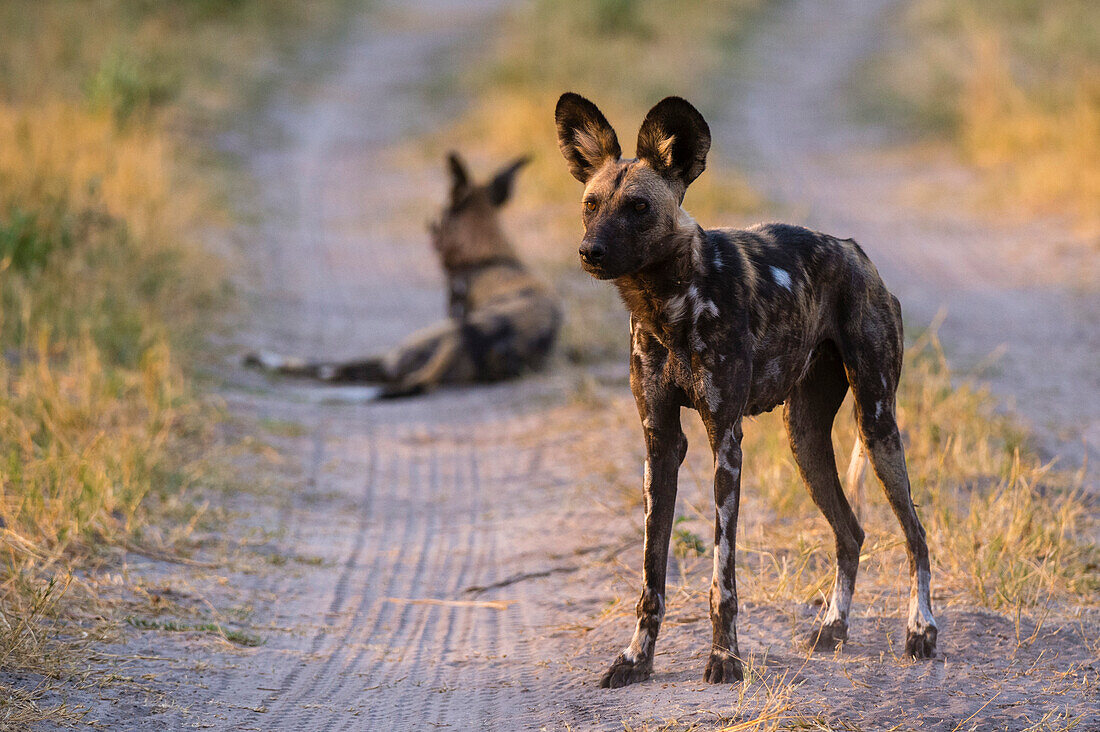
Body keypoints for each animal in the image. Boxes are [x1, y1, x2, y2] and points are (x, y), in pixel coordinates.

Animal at [246, 150, 563, 396]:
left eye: (437, 217)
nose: (427, 225)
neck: (488, 258)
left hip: (399, 352)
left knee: (330, 368)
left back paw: (262, 359)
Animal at [558, 93, 937, 686]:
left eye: (638, 207)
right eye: (591, 203)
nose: (590, 251)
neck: (668, 303)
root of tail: (856, 251)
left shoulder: (725, 444)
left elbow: (723, 579)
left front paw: (724, 658)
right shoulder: (659, 446)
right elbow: (650, 577)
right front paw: (636, 659)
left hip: (877, 425)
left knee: (915, 534)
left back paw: (920, 631)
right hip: (805, 441)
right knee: (851, 533)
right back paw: (833, 628)